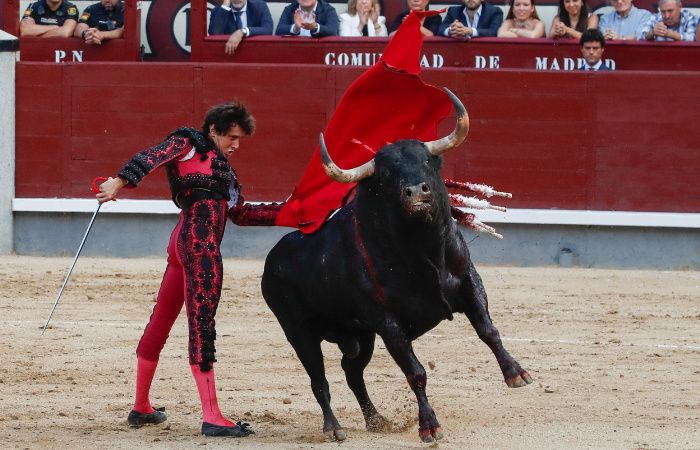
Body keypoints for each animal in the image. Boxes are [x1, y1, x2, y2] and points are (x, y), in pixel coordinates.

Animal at [262, 89, 532, 442]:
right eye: (386, 174)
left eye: (427, 161)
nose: (416, 192)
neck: (422, 251)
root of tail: (273, 258)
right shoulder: (388, 322)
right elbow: (415, 372)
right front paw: (429, 426)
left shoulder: (468, 282)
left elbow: (489, 330)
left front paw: (516, 374)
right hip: (299, 332)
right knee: (319, 379)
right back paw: (334, 428)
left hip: (361, 337)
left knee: (351, 372)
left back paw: (376, 419)